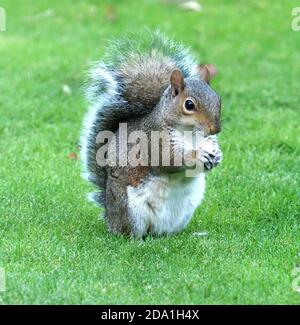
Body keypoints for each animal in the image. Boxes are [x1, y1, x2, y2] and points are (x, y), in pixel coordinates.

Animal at [81, 31, 221, 237]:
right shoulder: (154, 140)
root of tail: (109, 216)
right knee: (130, 232)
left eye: (218, 99)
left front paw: (217, 154)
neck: (190, 133)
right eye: (189, 105)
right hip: (130, 210)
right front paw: (198, 155)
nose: (215, 129)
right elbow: (170, 160)